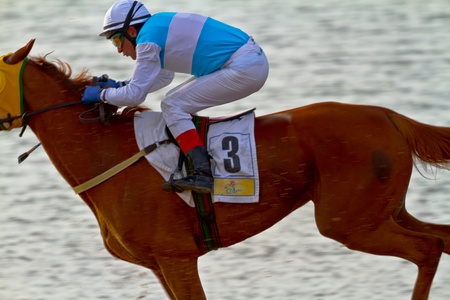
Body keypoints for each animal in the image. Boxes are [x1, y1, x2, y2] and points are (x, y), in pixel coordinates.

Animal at [0, 40, 450, 300]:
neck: (107, 151)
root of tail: (391, 116)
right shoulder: (160, 265)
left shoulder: (176, 257)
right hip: (383, 212)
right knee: (439, 239)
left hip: (352, 222)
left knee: (427, 248)